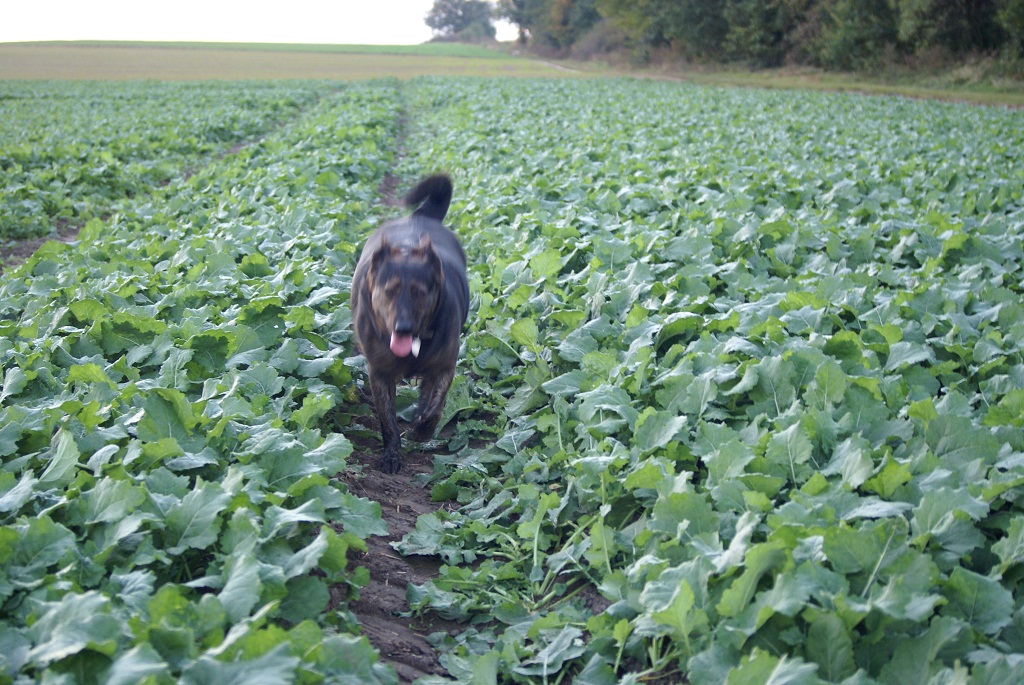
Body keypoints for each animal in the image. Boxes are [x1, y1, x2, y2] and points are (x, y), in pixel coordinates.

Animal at [351, 174, 469, 473]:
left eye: (419, 292)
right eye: (390, 291)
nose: (402, 328)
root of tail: (420, 217)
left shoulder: (444, 366)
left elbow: (435, 406)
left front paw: (422, 429)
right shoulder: (379, 373)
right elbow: (387, 420)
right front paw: (392, 454)